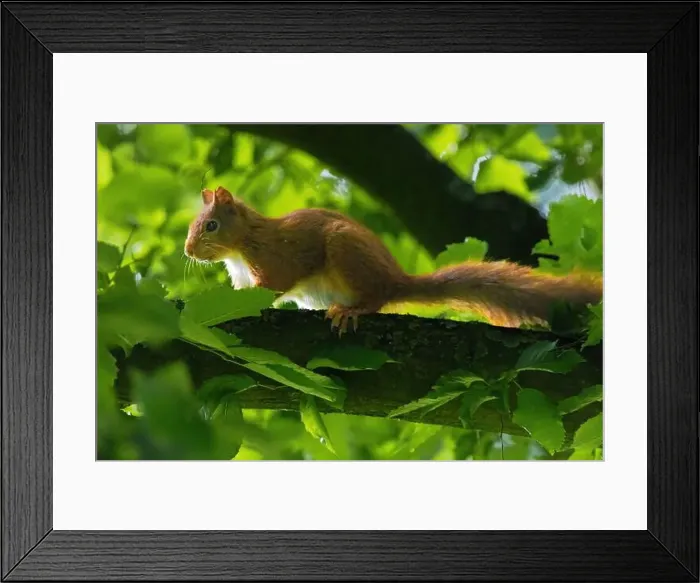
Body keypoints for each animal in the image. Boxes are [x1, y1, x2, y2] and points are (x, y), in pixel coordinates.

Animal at [185, 186, 602, 334]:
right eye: (192, 225)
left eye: (211, 226)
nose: (188, 251)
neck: (242, 245)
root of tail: (396, 278)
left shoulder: (276, 258)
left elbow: (275, 284)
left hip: (347, 254)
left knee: (377, 299)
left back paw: (352, 310)